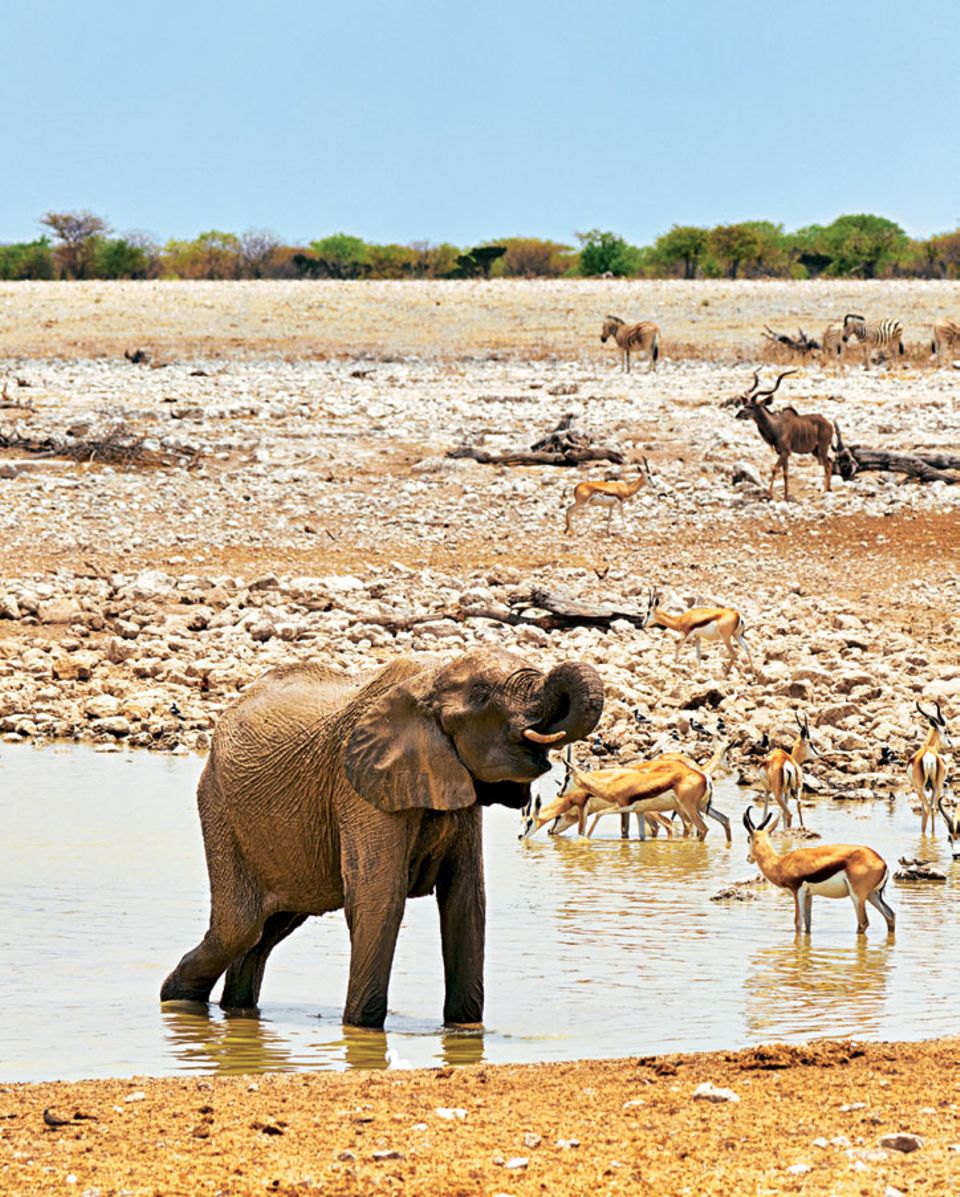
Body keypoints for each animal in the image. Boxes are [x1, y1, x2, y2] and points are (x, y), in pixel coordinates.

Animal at [160, 646, 603, 1029]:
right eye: (482, 696)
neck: (430, 679)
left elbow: (465, 902)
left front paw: (464, 1029)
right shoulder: (357, 786)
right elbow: (380, 898)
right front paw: (362, 1030)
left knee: (266, 931)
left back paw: (232, 1010)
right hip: (219, 808)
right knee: (240, 928)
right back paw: (174, 1002)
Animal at [732, 363, 828, 495]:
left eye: (751, 406)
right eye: (745, 404)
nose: (738, 415)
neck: (776, 426)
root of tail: (828, 424)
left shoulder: (785, 452)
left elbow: (774, 468)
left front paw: (770, 494)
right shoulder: (783, 453)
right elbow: (785, 473)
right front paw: (786, 496)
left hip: (823, 448)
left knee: (828, 464)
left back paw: (827, 490)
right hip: (815, 450)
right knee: (830, 462)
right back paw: (829, 489)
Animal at [742, 804, 890, 933]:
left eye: (748, 839)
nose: (748, 858)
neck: (780, 863)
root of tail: (882, 862)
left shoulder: (797, 891)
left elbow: (798, 922)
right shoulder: (809, 895)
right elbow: (807, 922)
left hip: (857, 896)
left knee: (863, 922)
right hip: (872, 895)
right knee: (890, 915)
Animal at [909, 699, 948, 833]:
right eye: (946, 731)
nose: (950, 743)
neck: (929, 746)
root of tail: (929, 757)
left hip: (921, 788)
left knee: (927, 808)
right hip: (937, 786)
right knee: (932, 808)